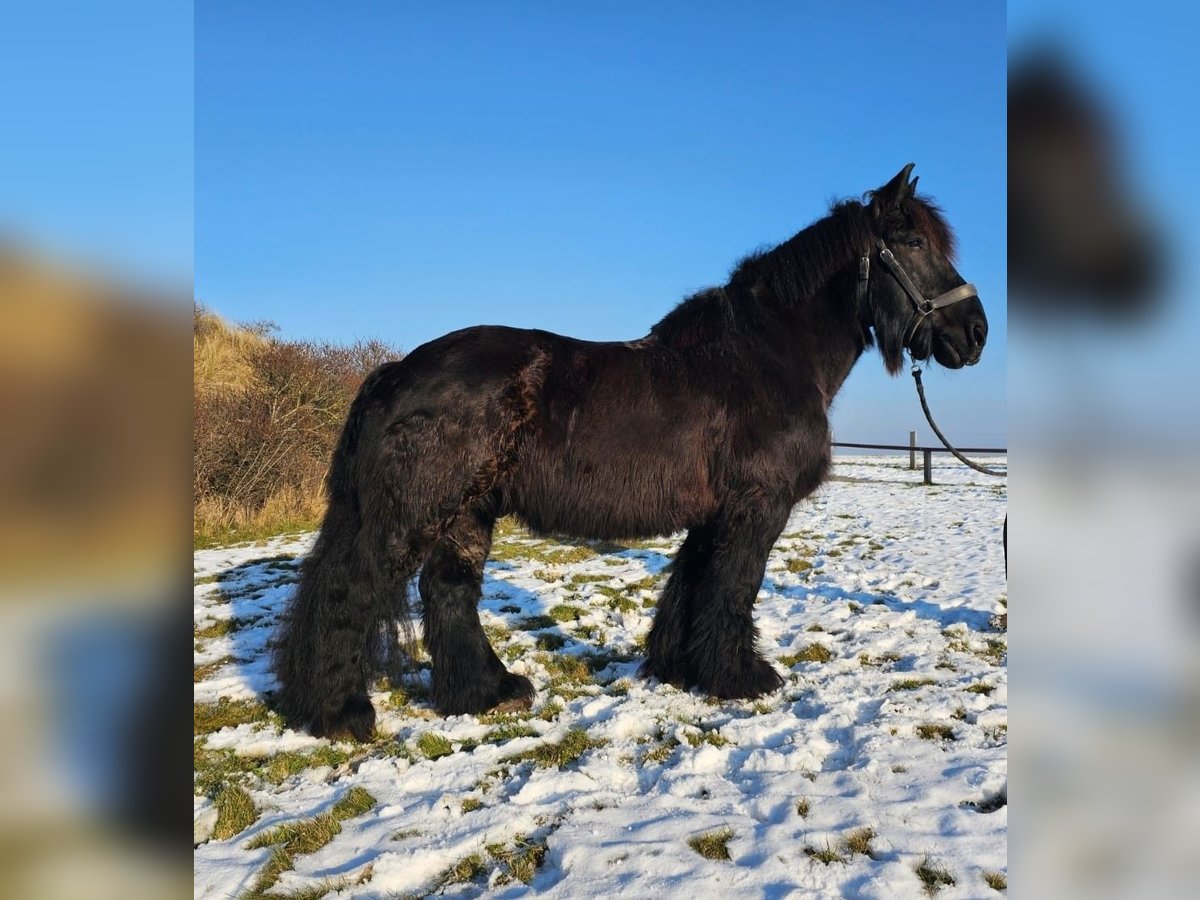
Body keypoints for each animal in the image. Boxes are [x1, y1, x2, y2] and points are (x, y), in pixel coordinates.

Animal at [276, 165, 988, 744]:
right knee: (354, 589)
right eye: (914, 243)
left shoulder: (716, 512)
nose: (976, 332)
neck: (768, 355)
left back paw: (487, 692)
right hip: (414, 512)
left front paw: (679, 668)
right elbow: (735, 587)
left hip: (467, 512)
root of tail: (397, 371)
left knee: (449, 591)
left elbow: (694, 584)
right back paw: (341, 711)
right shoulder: (757, 507)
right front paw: (742, 677)